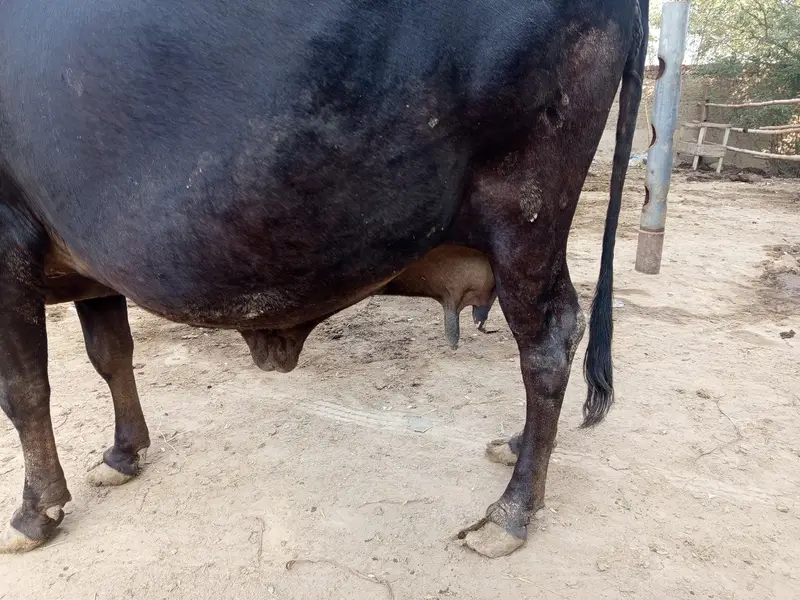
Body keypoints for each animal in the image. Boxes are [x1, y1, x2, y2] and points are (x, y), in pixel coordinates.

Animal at [0, 0, 647, 557]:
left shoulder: (8, 248)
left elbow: (24, 390)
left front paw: (34, 513)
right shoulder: (92, 260)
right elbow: (110, 355)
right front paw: (122, 454)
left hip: (526, 210)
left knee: (548, 343)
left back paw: (511, 512)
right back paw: (516, 447)